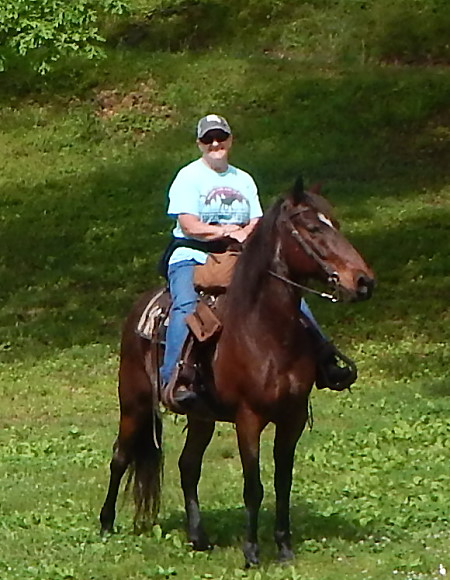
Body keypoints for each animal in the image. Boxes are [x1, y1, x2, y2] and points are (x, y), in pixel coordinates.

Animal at [100, 177, 374, 568]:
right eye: (312, 228)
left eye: (334, 222)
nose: (364, 282)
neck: (265, 332)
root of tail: (138, 309)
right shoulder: (249, 418)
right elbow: (253, 486)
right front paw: (252, 552)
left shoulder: (291, 418)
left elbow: (282, 482)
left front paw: (284, 547)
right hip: (134, 403)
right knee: (120, 456)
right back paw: (106, 524)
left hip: (201, 416)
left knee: (188, 465)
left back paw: (198, 537)